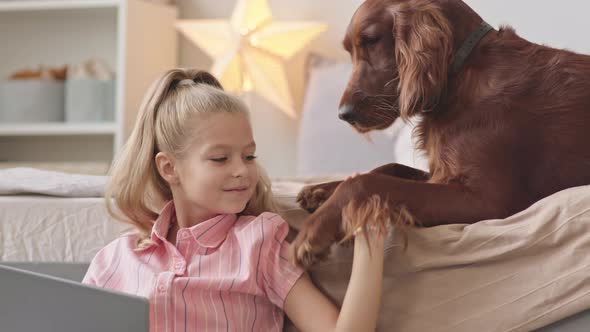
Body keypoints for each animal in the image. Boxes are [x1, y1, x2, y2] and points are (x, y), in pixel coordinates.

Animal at [294, 0, 590, 268]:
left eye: (371, 40)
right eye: (349, 50)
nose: (344, 114)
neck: (458, 79)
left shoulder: (488, 201)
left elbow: (365, 182)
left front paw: (314, 232)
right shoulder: (441, 173)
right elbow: (387, 168)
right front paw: (321, 190)